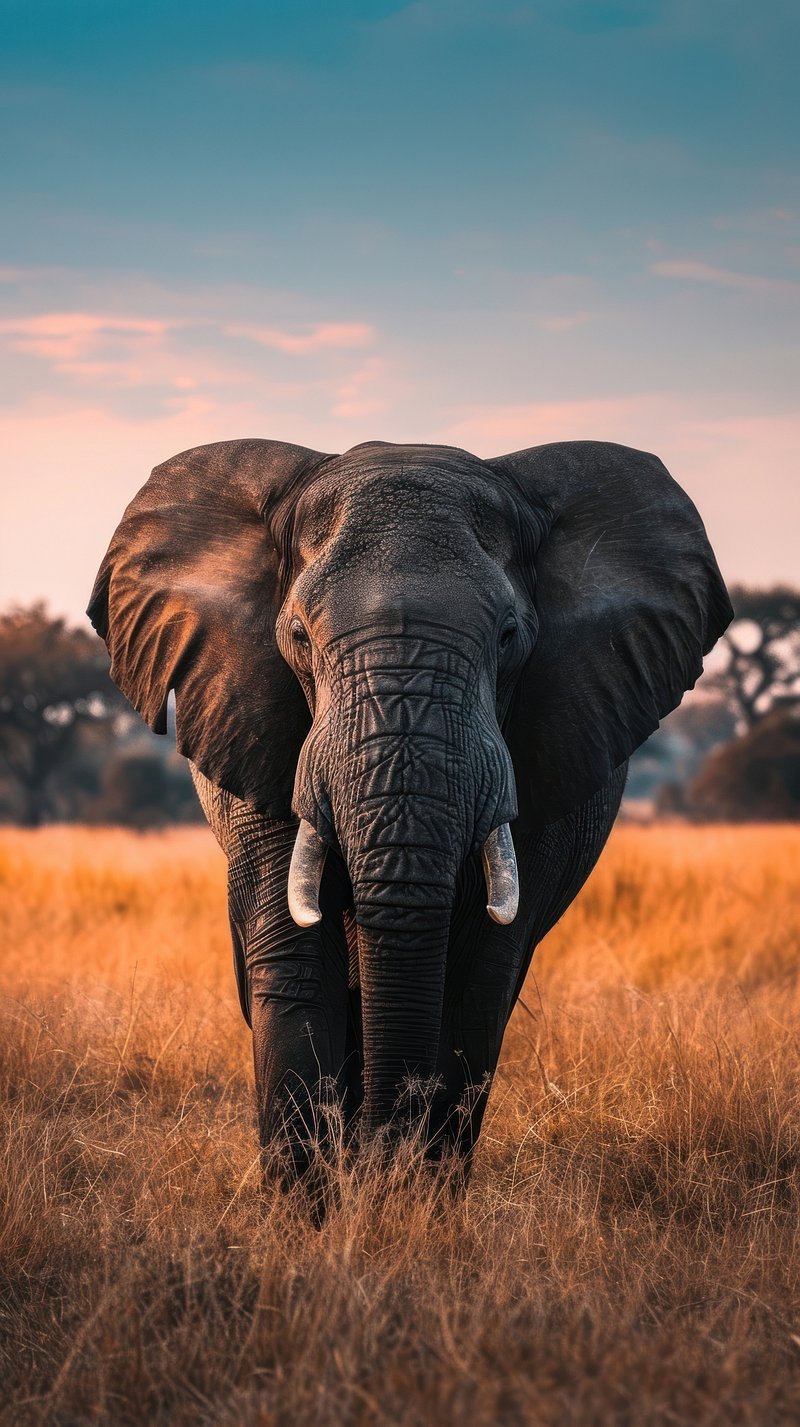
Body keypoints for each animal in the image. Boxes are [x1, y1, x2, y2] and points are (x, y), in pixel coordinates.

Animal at [88, 437, 731, 1180]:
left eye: (509, 636)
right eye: (298, 635)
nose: (381, 1155)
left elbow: (476, 979)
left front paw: (411, 1192)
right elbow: (297, 962)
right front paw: (316, 1202)